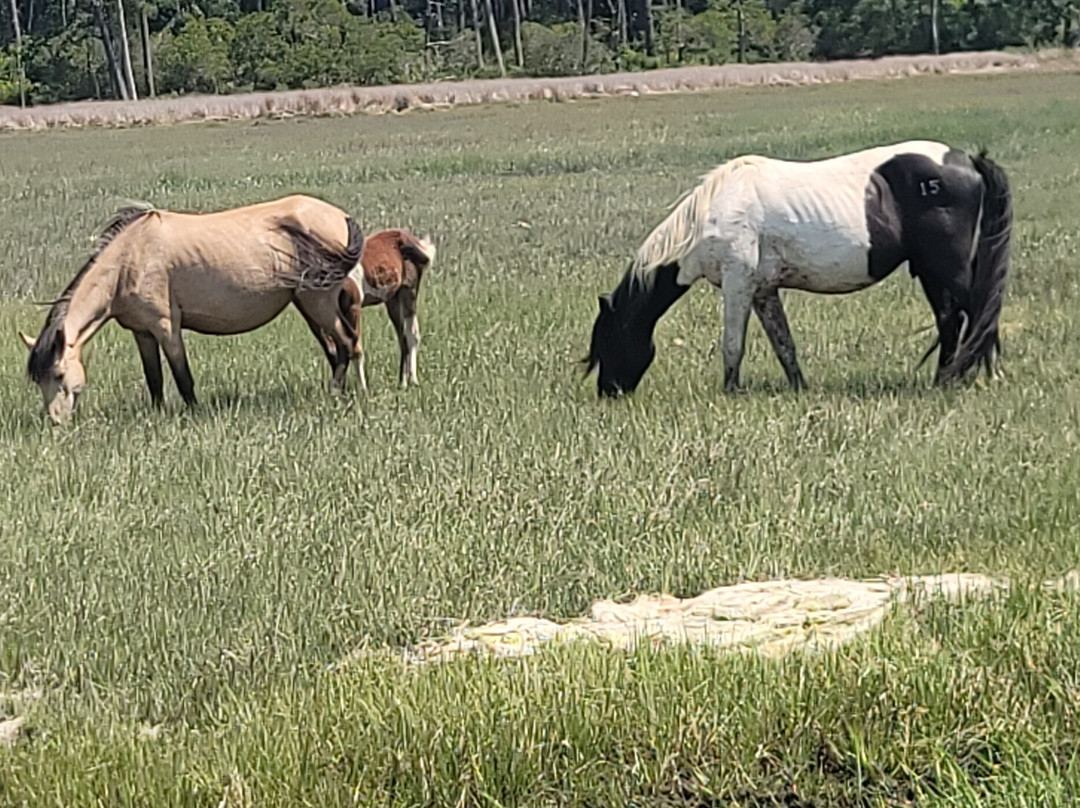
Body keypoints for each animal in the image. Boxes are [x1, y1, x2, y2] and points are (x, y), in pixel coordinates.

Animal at [19, 194, 365, 423]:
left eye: (59, 374)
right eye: (38, 380)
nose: (55, 423)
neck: (130, 259)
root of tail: (339, 216)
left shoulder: (166, 327)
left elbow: (182, 376)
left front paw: (194, 414)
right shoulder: (142, 332)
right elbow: (154, 379)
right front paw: (157, 415)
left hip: (318, 301)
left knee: (347, 344)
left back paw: (336, 394)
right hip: (308, 303)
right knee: (337, 349)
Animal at [336, 228, 437, 390]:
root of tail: (410, 238)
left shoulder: (353, 307)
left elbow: (354, 347)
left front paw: (363, 390)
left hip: (408, 292)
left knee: (412, 335)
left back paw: (413, 380)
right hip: (392, 300)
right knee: (402, 337)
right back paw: (403, 382)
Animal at [584, 140, 1013, 398]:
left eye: (609, 339)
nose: (609, 392)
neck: (712, 213)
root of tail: (968, 161)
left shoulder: (738, 283)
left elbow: (732, 344)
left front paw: (730, 393)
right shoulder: (763, 290)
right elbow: (784, 344)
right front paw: (799, 388)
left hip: (946, 269)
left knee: (973, 317)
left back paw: (971, 379)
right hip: (931, 273)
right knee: (952, 322)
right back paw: (946, 380)